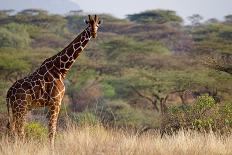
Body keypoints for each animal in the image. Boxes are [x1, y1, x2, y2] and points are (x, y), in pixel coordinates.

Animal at [5, 14, 101, 147]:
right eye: (89, 25)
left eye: (97, 25)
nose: (94, 33)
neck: (61, 69)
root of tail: (9, 92)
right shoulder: (56, 101)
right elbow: (52, 129)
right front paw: (51, 148)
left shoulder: (55, 102)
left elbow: (52, 128)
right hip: (21, 107)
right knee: (19, 129)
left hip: (17, 108)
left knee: (13, 128)